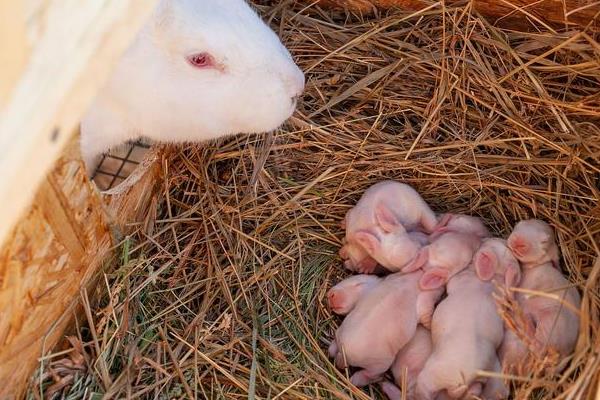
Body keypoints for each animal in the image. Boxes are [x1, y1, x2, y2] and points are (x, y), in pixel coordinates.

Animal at [414, 239, 516, 398]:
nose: (486, 238)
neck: (492, 279)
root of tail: (462, 381)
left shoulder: (459, 279)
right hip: (487, 375)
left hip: (432, 376)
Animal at [502, 219, 580, 372]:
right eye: (517, 225)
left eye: (544, 241)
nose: (517, 241)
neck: (533, 267)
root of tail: (566, 353)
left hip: (550, 322)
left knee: (536, 346)